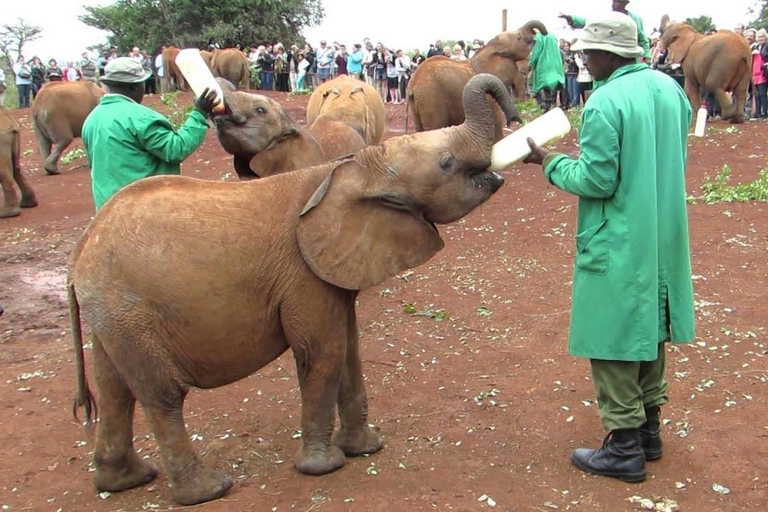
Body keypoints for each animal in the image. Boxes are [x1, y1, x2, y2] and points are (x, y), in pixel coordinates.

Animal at [408, 19, 544, 139]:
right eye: (519, 37)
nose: (539, 33)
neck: (490, 47)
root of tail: (412, 86)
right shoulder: (489, 97)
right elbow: (496, 126)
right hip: (431, 100)